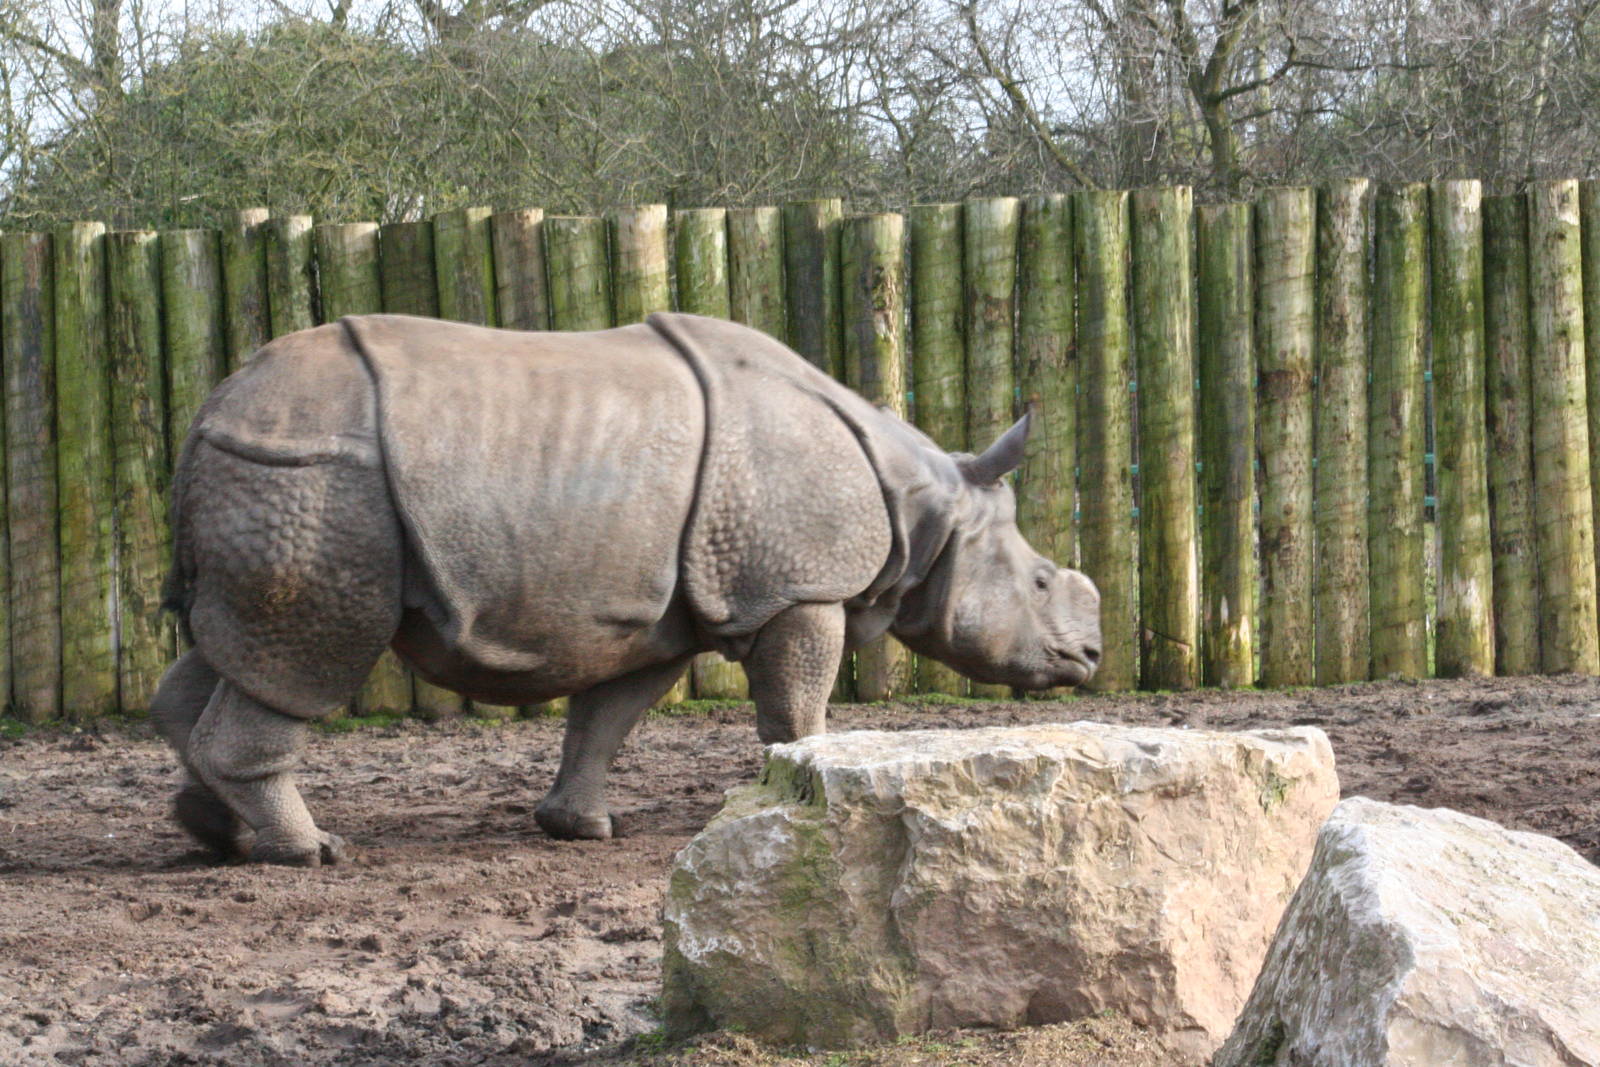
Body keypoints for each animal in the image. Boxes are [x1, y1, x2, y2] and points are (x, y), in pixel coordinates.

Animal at [150, 312, 1101, 866]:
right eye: (1041, 581)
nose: (1090, 655)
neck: (925, 503)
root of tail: (205, 412)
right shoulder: (799, 586)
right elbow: (797, 704)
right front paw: (809, 788)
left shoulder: (656, 615)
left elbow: (608, 715)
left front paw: (580, 829)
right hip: (313, 479)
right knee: (308, 657)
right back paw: (310, 851)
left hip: (276, 473)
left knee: (234, 652)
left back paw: (219, 833)